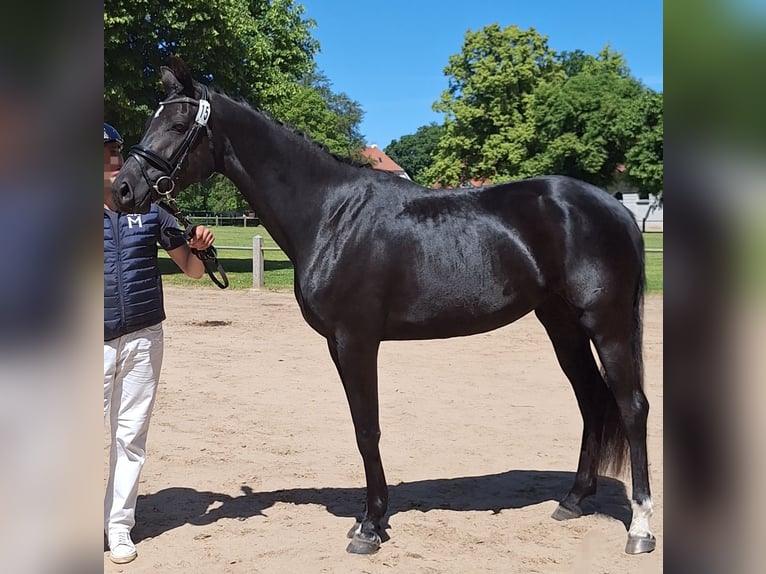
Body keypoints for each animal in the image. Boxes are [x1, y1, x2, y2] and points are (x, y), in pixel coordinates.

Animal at [112, 57, 655, 556]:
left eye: (177, 125)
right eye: (151, 120)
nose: (123, 189)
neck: (330, 214)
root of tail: (617, 208)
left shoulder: (356, 341)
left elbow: (367, 429)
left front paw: (371, 527)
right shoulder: (339, 345)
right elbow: (361, 427)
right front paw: (370, 518)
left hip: (606, 325)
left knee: (631, 407)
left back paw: (640, 529)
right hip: (562, 324)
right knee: (591, 401)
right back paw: (573, 500)